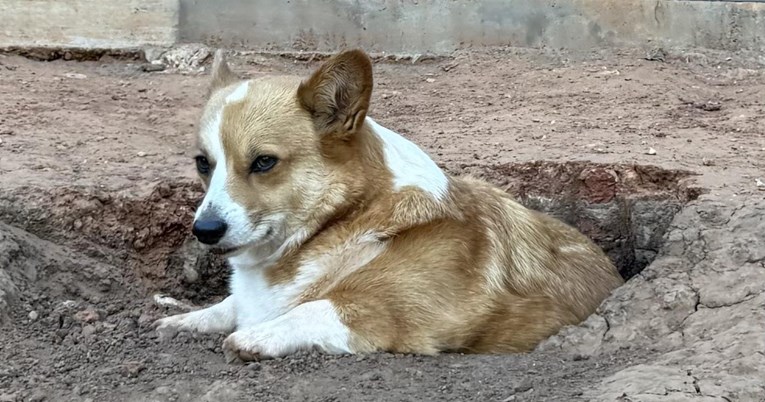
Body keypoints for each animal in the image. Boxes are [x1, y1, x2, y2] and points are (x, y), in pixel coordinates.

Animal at [152, 48, 624, 362]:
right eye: (203, 163)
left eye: (264, 162)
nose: (204, 231)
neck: (344, 219)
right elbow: (230, 305)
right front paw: (188, 318)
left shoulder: (400, 314)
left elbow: (317, 306)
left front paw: (255, 337)